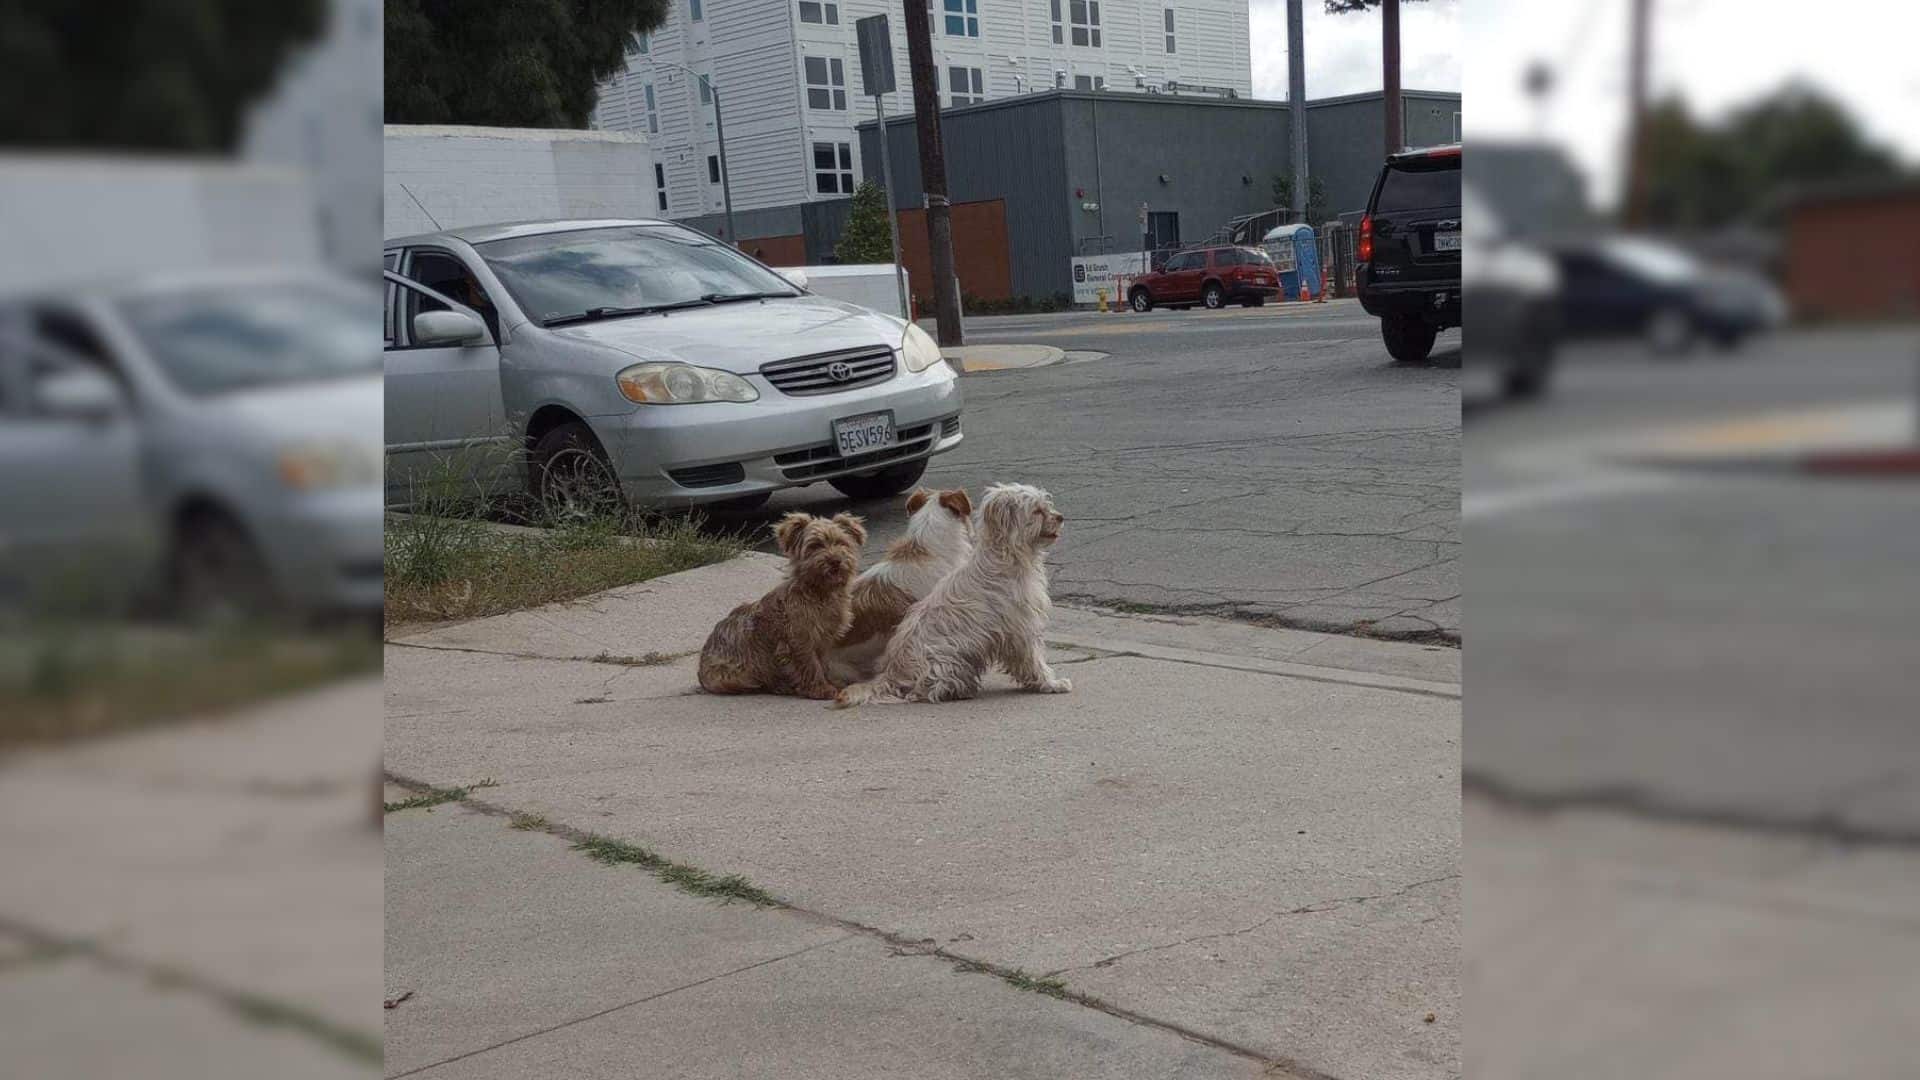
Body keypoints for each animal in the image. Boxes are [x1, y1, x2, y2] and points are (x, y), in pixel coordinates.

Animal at [695, 511, 867, 699]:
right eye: (815, 546)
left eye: (841, 543)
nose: (835, 560)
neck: (819, 592)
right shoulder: (800, 639)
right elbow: (810, 665)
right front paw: (820, 688)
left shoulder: (824, 640)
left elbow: (822, 663)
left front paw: (830, 682)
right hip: (736, 675)